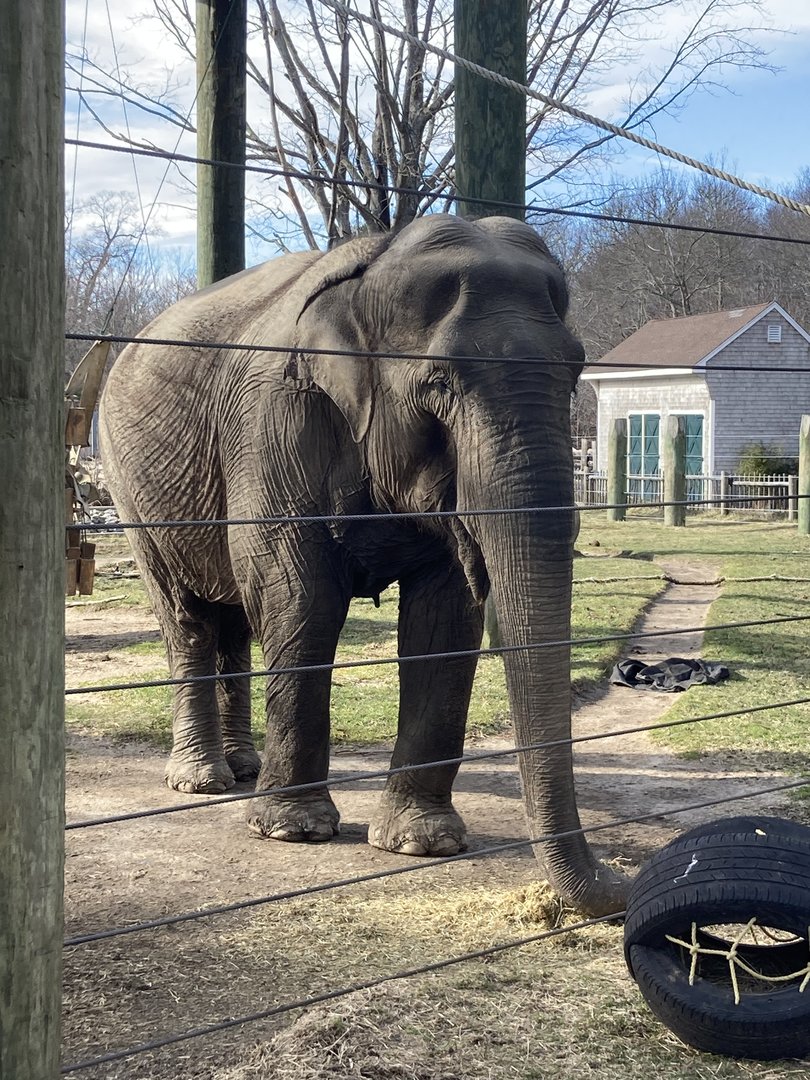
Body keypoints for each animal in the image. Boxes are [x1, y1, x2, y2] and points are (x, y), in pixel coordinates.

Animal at [100, 213, 627, 916]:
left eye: (575, 373)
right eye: (440, 382)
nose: (620, 883)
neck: (373, 269)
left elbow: (445, 619)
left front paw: (423, 843)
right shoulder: (277, 419)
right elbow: (301, 598)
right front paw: (294, 831)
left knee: (232, 618)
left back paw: (242, 769)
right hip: (130, 487)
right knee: (187, 617)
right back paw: (203, 781)